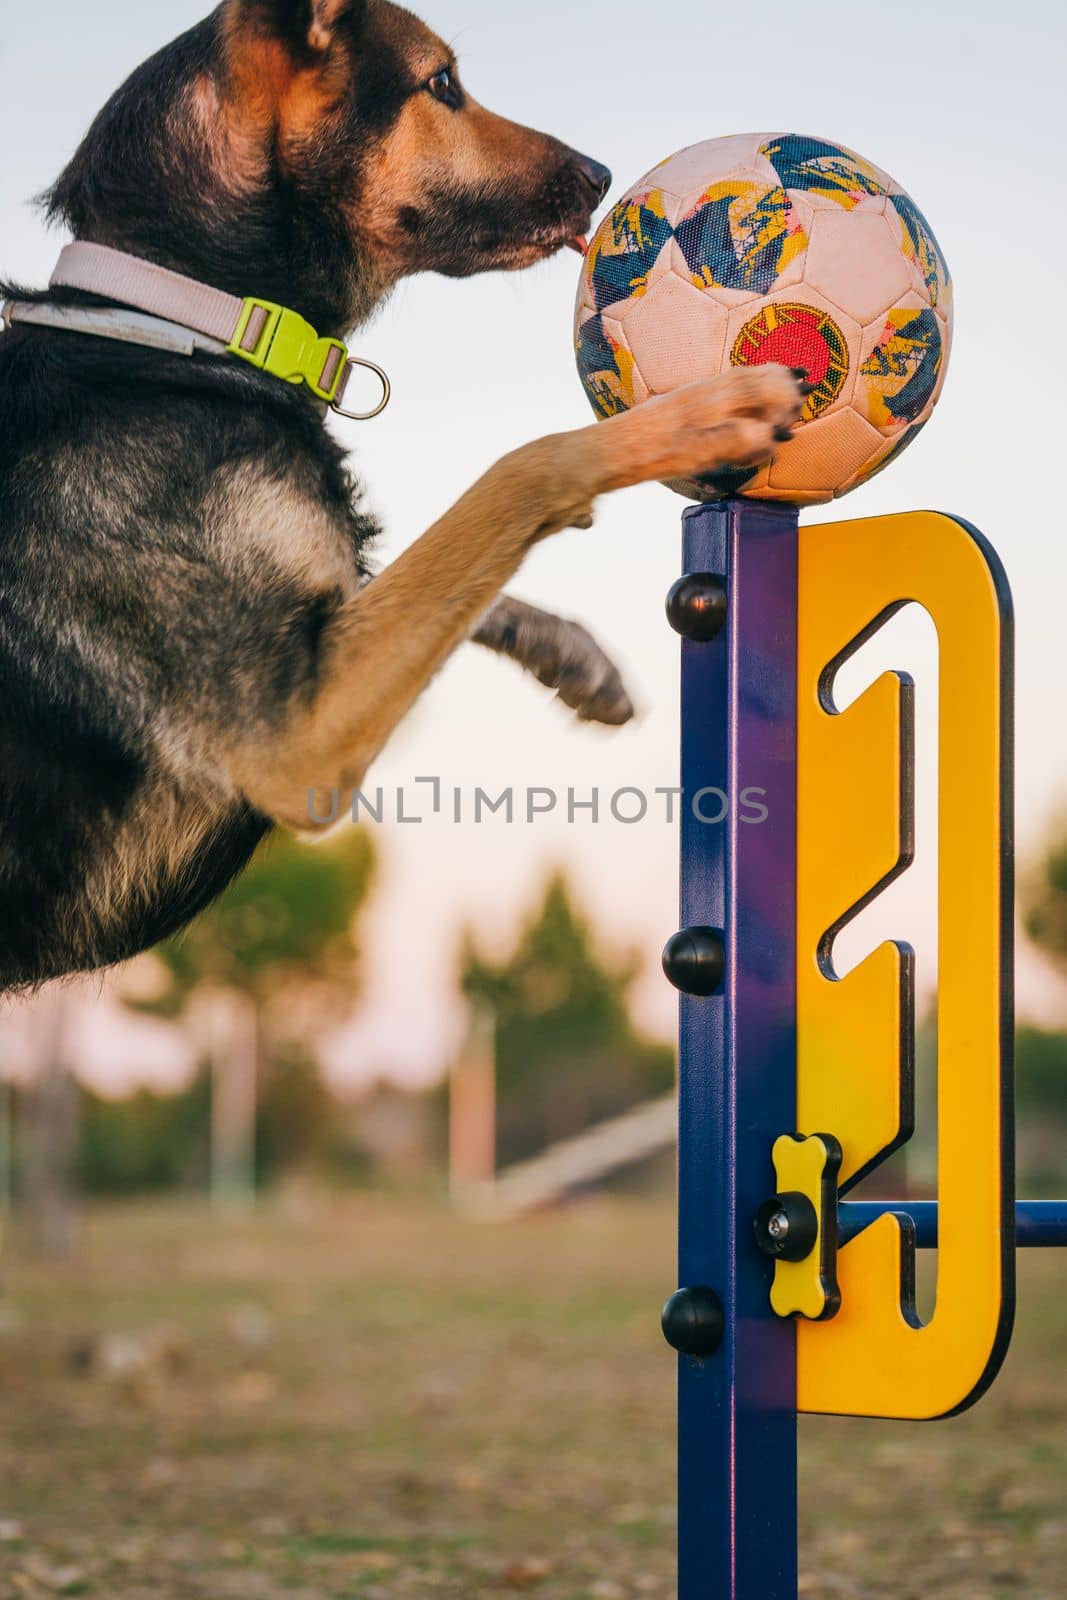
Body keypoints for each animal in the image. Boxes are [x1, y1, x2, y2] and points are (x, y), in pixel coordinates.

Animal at [0, 0, 799, 992]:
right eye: (441, 84)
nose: (602, 175)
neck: (180, 317)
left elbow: (415, 573)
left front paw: (565, 648)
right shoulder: (293, 734)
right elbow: (514, 474)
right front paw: (698, 418)